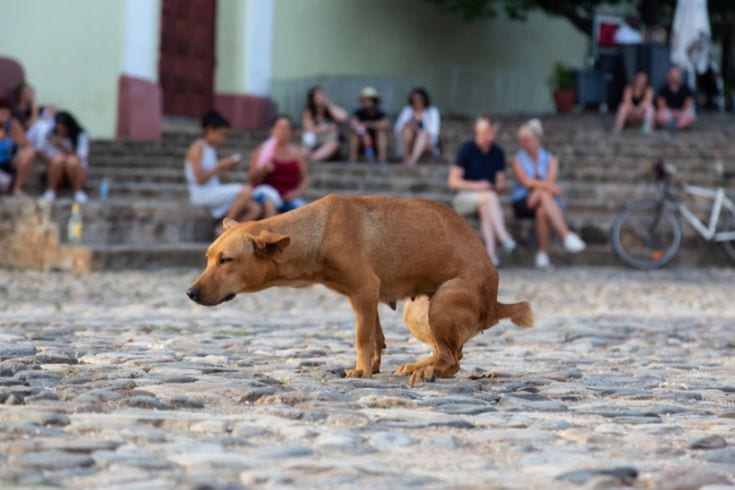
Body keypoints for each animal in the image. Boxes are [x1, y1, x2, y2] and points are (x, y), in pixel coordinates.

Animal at [188, 193, 536, 384]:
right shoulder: (366, 298)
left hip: (442, 304)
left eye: (226, 260)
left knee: (453, 360)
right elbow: (375, 338)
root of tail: (494, 304)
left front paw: (361, 370)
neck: (318, 231)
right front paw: (374, 366)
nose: (190, 293)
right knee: (447, 352)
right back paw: (420, 365)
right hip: (418, 311)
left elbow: (361, 338)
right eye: (207, 258)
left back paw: (429, 372)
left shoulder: (365, 291)